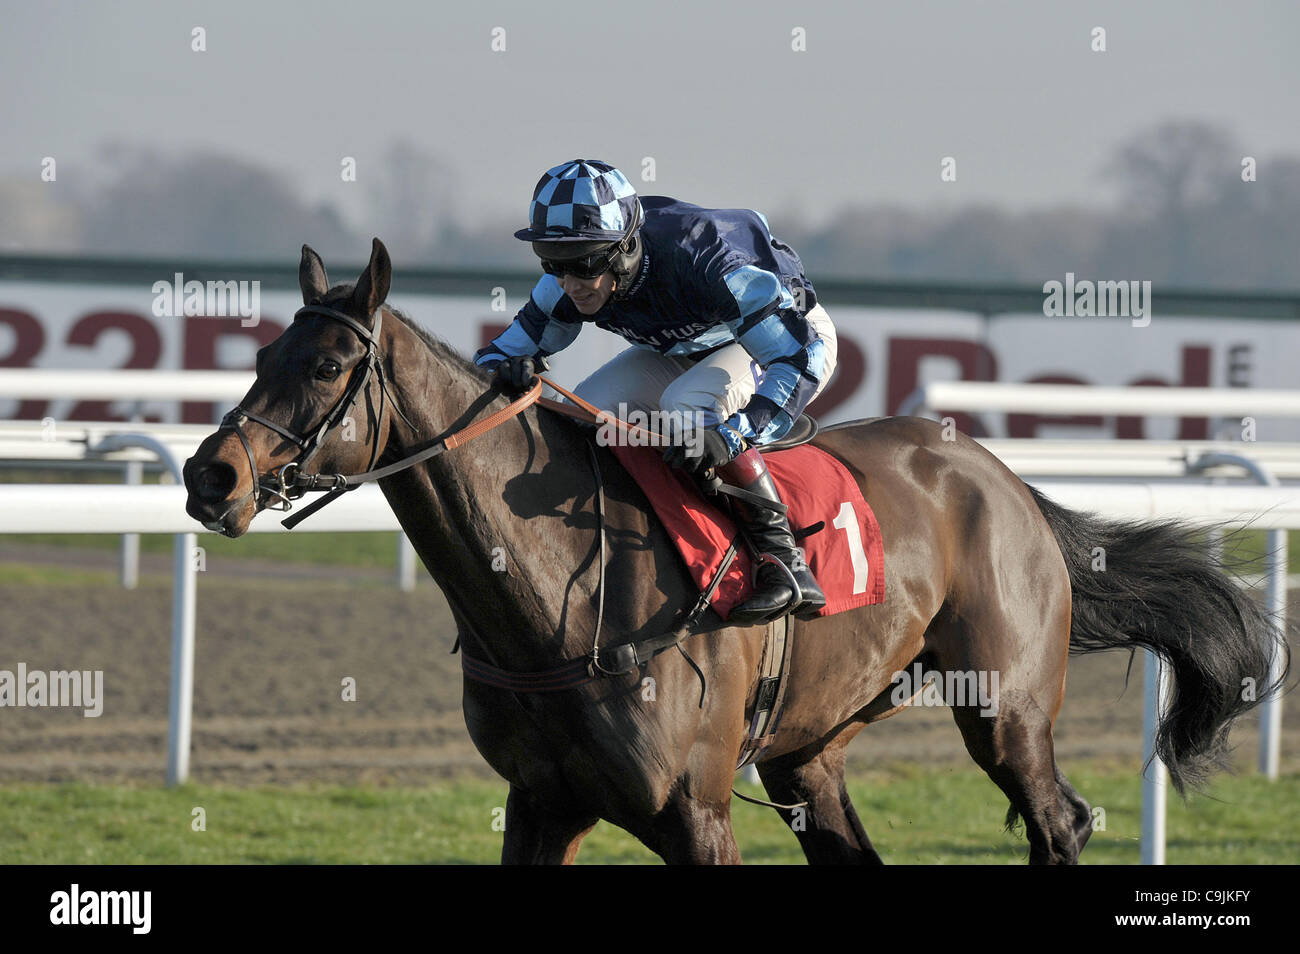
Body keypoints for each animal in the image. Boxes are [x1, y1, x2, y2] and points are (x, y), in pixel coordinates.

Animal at [183, 239, 1289, 868]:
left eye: (329, 363)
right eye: (259, 353)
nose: (209, 475)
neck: (554, 596)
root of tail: (1003, 479)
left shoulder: (694, 812)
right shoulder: (539, 804)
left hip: (1005, 710)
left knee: (1058, 823)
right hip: (812, 746)